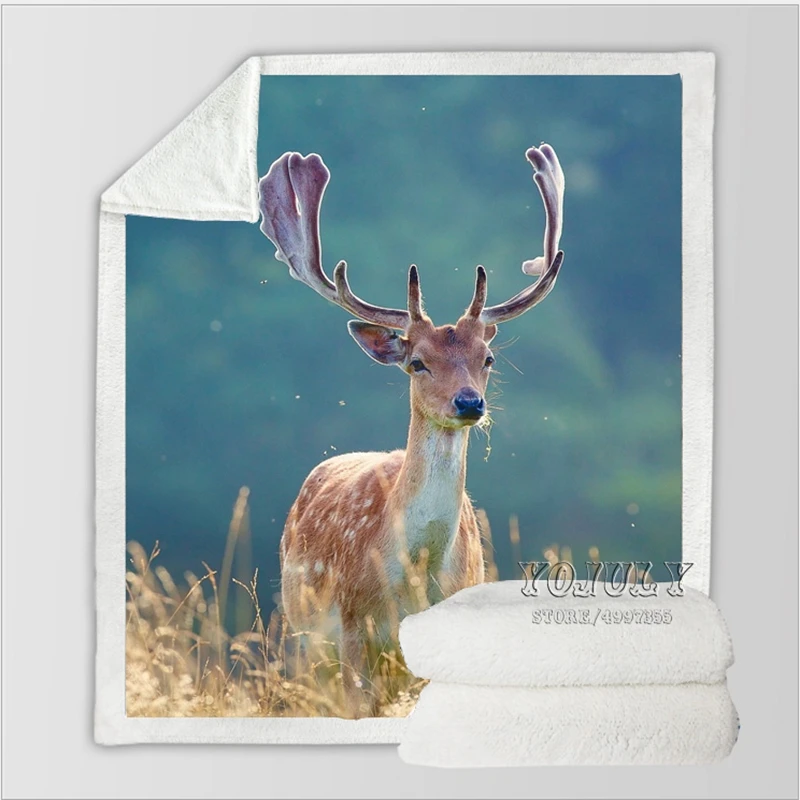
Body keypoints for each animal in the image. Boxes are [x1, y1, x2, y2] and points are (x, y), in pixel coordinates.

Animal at [257, 143, 565, 716]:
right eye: (417, 362)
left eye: (487, 358)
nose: (469, 402)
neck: (414, 581)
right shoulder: (353, 630)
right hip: (299, 636)